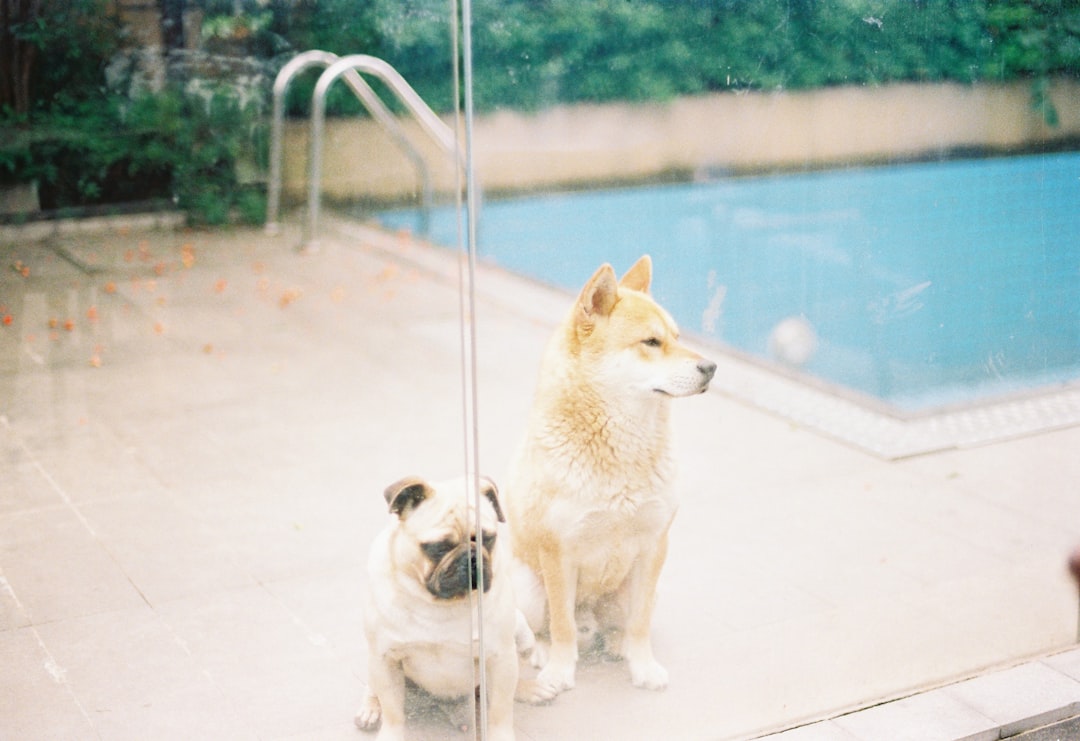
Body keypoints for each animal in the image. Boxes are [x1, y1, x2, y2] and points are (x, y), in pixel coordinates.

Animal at [356, 475, 520, 741]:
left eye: (487, 539)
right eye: (438, 547)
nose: (472, 558)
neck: (441, 605)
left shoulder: (501, 659)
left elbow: (499, 712)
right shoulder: (385, 658)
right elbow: (393, 712)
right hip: (375, 663)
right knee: (374, 689)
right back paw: (370, 709)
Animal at [505, 253, 717, 695]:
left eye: (676, 336)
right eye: (651, 342)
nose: (711, 367)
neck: (622, 453)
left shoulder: (654, 546)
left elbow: (640, 624)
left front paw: (642, 666)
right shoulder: (557, 552)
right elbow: (562, 625)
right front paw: (560, 670)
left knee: (623, 622)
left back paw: (617, 644)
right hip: (527, 586)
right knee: (548, 627)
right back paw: (546, 652)